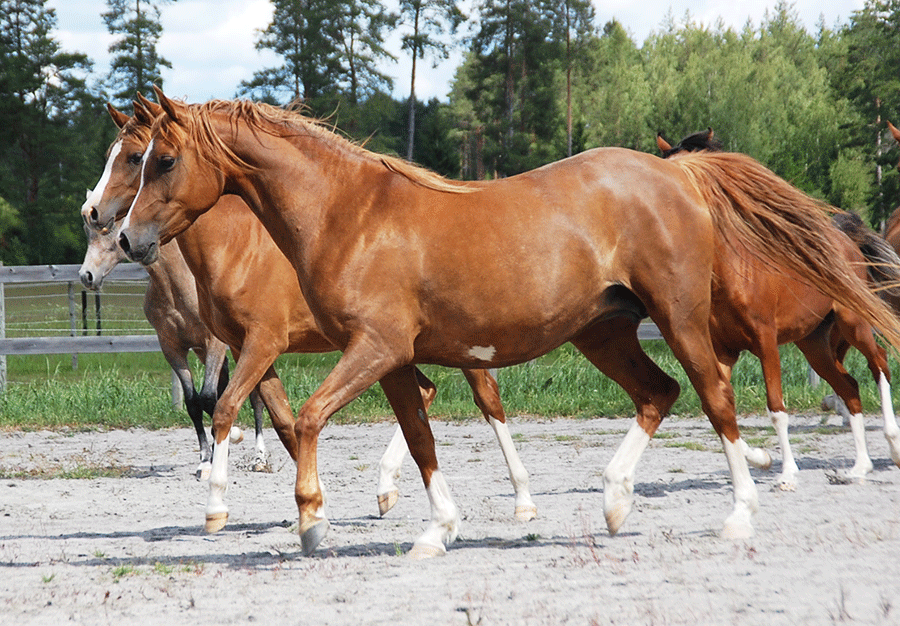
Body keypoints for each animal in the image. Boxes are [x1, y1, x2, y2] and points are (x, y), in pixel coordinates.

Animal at [81, 100, 536, 540]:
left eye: (143, 158)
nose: (94, 213)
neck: (235, 246)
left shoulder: (260, 342)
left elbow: (225, 406)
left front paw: (220, 504)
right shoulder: (246, 348)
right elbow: (282, 420)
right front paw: (314, 506)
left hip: (456, 345)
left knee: (487, 400)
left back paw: (522, 499)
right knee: (425, 393)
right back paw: (386, 489)